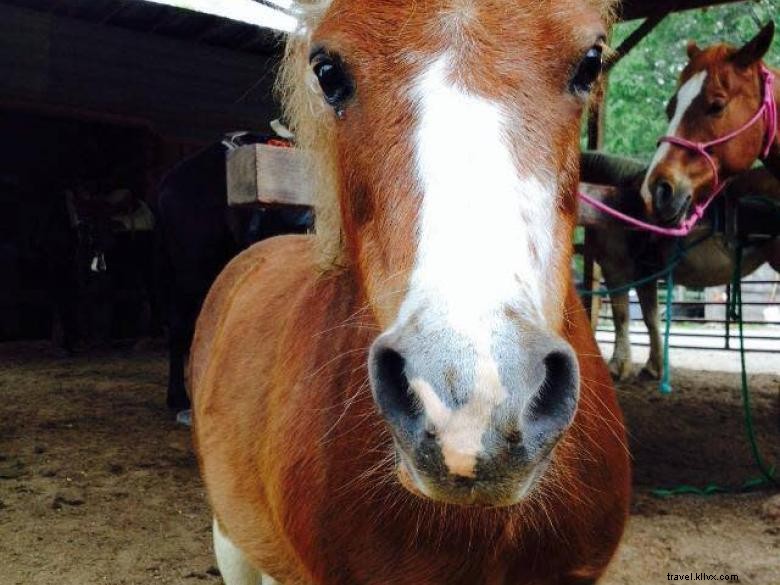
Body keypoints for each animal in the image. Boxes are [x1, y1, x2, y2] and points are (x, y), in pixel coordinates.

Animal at [582, 152, 780, 380]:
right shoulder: (645, 273)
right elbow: (651, 318)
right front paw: (655, 366)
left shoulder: (615, 267)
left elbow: (621, 315)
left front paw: (619, 367)